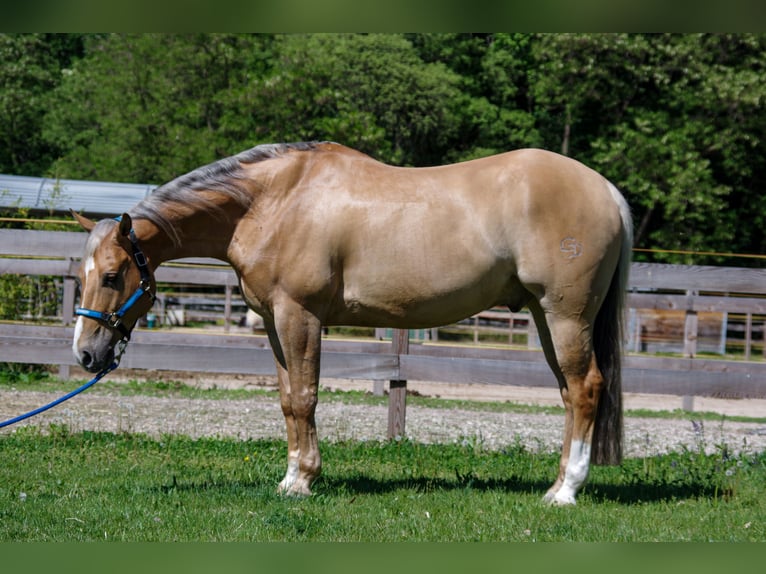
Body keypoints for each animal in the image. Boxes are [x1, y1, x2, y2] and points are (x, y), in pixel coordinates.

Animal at [71, 141, 632, 505]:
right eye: (81, 276)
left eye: (113, 275)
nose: (85, 353)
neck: (273, 201)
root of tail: (606, 190)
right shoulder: (274, 322)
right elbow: (287, 401)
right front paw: (290, 477)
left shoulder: (300, 315)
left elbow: (305, 397)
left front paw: (303, 481)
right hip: (543, 315)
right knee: (569, 393)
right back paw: (556, 485)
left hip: (565, 314)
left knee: (586, 388)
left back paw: (566, 492)